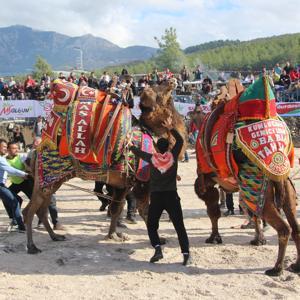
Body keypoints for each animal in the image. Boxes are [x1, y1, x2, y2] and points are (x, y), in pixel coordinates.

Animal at [23, 77, 186, 253]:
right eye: (158, 89)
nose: (172, 80)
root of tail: (36, 150)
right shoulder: (142, 181)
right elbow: (145, 211)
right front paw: (159, 240)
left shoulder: (124, 183)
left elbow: (116, 209)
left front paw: (114, 235)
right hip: (46, 178)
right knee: (30, 211)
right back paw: (32, 246)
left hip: (54, 181)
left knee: (41, 210)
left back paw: (55, 236)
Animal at [193, 76, 298, 276]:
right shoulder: (245, 185)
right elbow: (251, 213)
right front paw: (258, 240)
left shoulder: (208, 180)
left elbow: (213, 210)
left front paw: (214, 237)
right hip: (283, 184)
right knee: (295, 226)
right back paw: (296, 265)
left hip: (263, 186)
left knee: (284, 228)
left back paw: (277, 268)